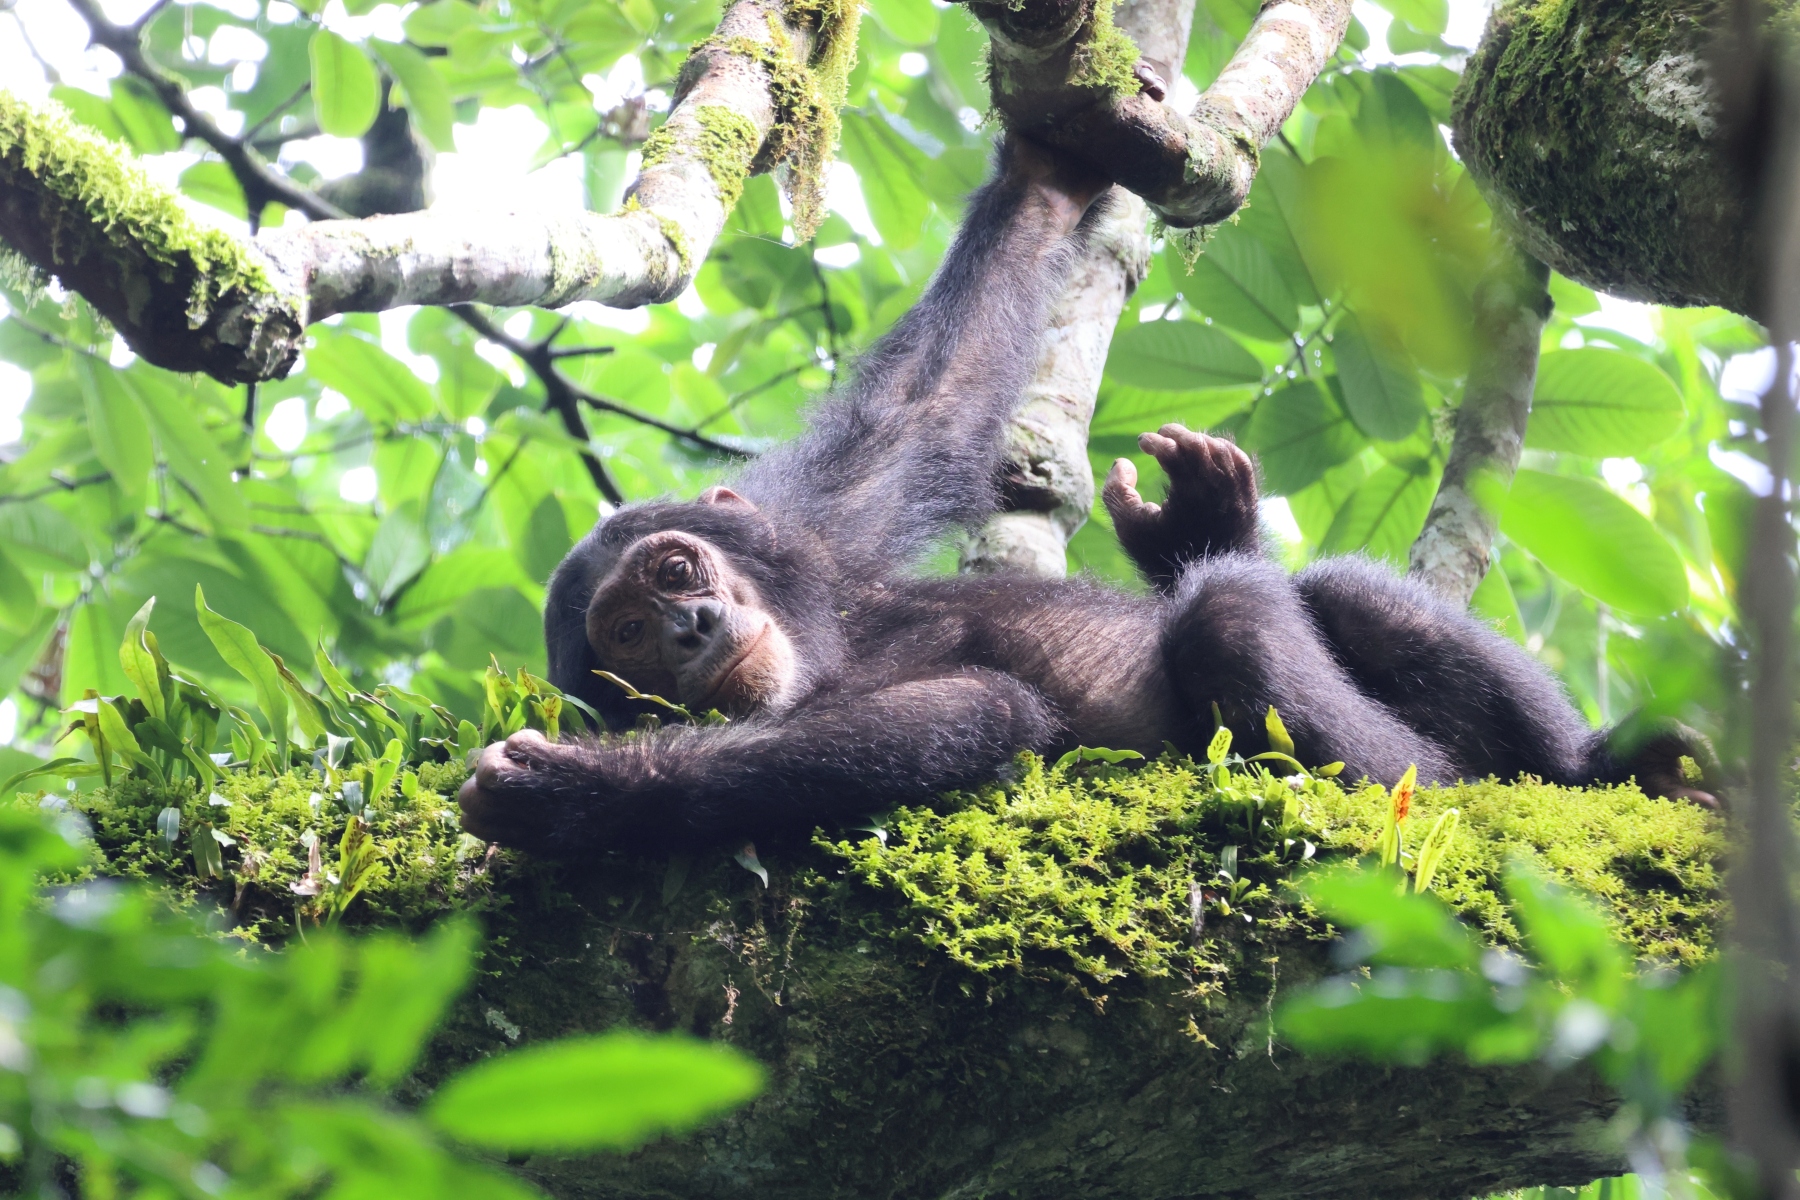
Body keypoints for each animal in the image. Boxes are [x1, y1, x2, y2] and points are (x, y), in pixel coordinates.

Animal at [457, 141, 1712, 857]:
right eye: (626, 638)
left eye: (676, 570)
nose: (692, 625)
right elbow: (974, 710)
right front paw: (582, 799)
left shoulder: (815, 525)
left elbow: (934, 396)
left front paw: (1055, 149)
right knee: (1238, 621)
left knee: (1327, 596)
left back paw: (1599, 767)